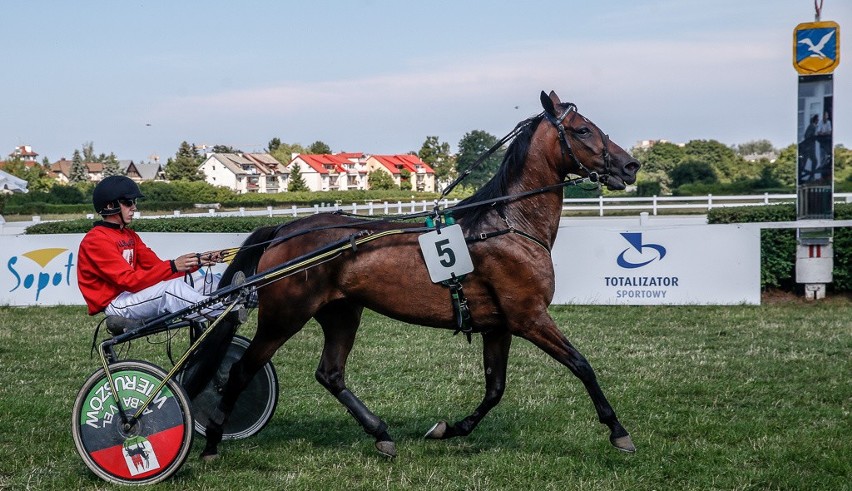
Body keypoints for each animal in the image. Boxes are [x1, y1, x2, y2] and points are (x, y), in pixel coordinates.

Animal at [201, 91, 640, 462]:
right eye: (583, 129)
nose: (630, 165)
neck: (508, 223)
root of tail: (284, 229)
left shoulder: (499, 326)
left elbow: (494, 389)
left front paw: (449, 428)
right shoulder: (529, 316)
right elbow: (582, 365)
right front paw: (618, 431)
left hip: (342, 313)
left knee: (330, 373)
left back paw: (380, 433)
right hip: (283, 317)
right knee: (239, 372)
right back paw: (211, 443)